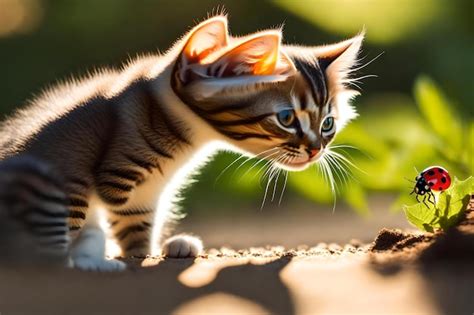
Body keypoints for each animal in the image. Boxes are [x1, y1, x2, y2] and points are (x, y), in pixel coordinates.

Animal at [0, 15, 362, 272]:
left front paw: (162, 248)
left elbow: (136, 237)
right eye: (286, 118)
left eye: (328, 124)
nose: (316, 149)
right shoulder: (111, 180)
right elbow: (79, 232)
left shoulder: (142, 197)